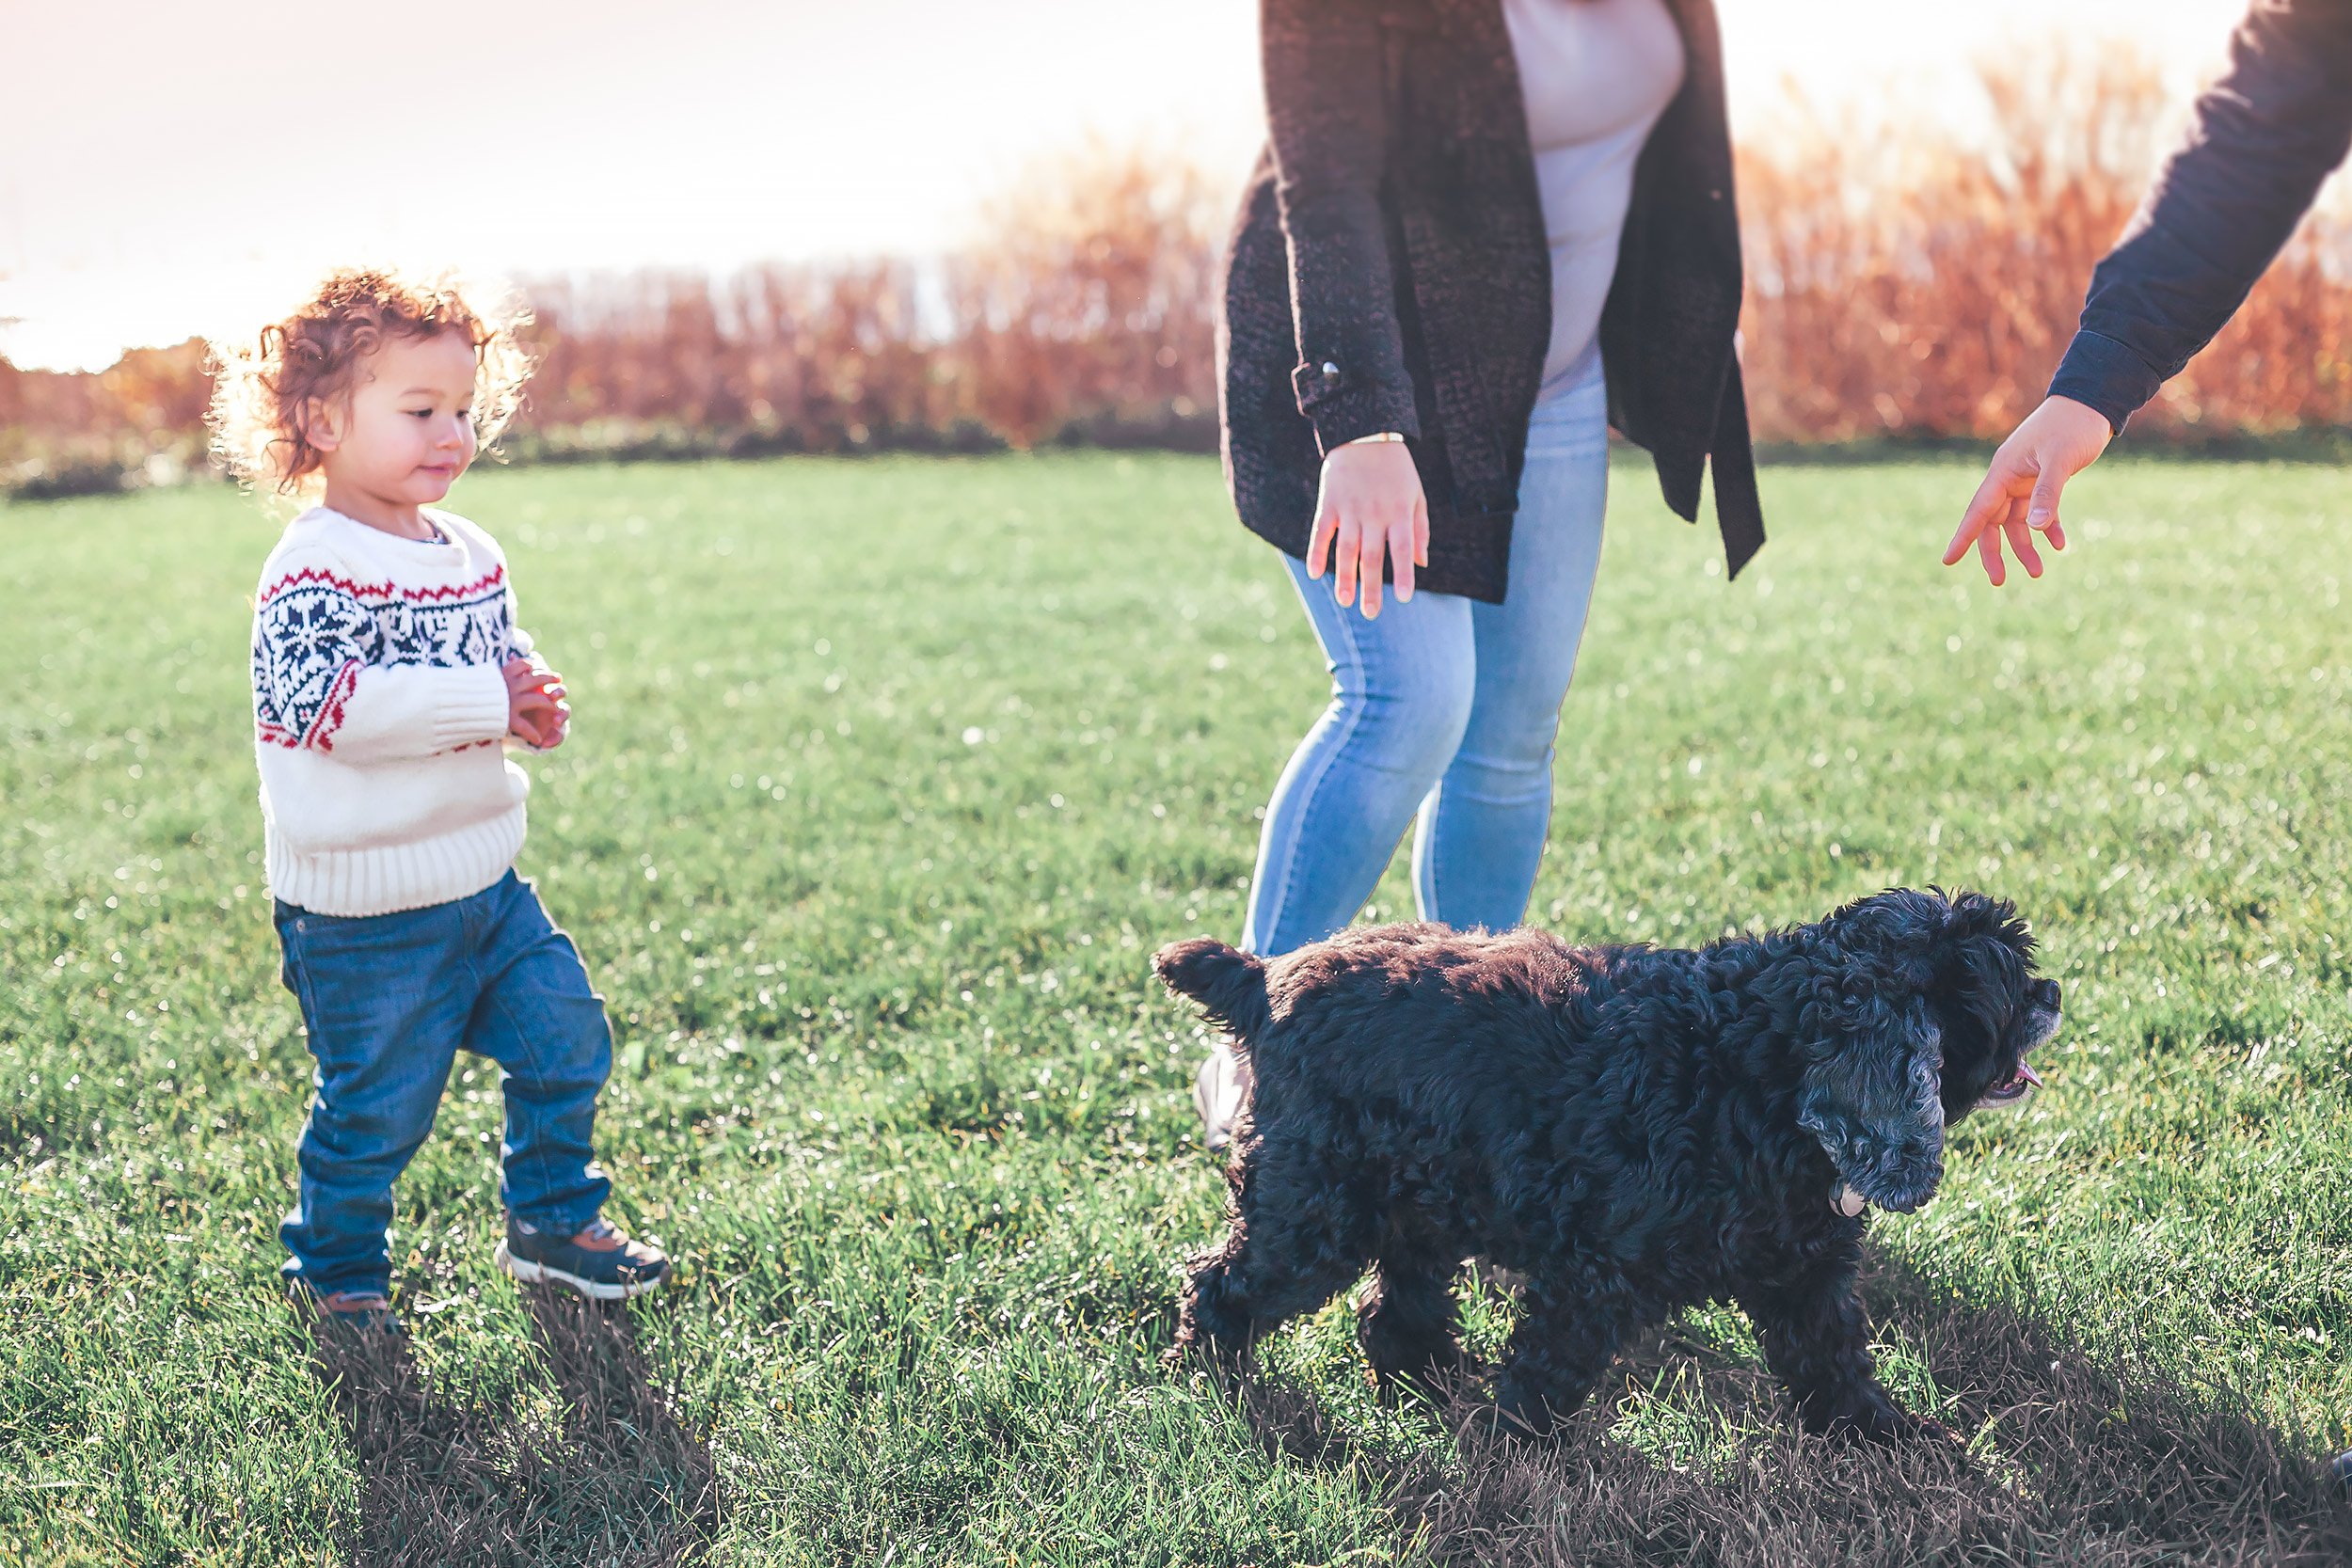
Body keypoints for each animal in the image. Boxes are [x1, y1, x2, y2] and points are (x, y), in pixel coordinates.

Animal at [1157, 888, 2060, 1438]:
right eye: (2000, 987)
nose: (2052, 992)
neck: (1755, 1063)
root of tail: (1265, 978)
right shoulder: (1590, 1273)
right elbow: (1546, 1375)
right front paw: (1518, 1465)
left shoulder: (1806, 1271)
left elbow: (1833, 1358)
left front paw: (1886, 1436)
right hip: (1315, 1209)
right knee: (1220, 1286)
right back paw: (1209, 1382)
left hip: (1421, 1199)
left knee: (1396, 1306)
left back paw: (1431, 1378)